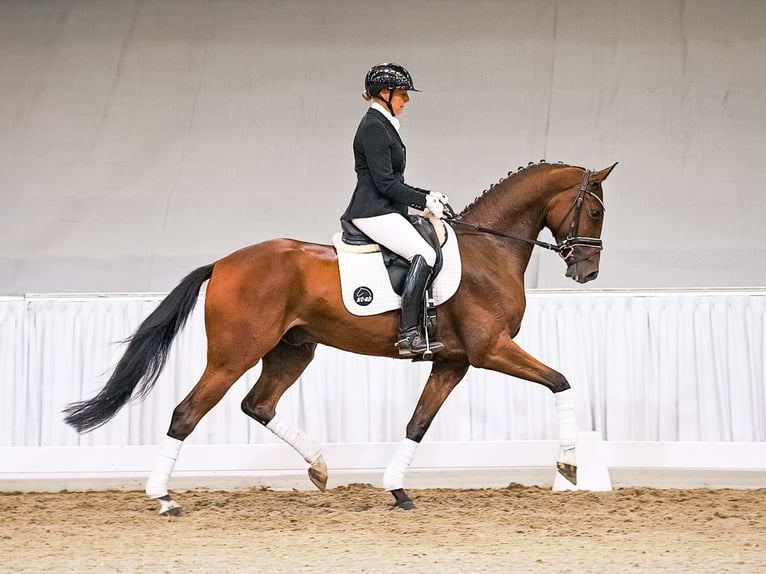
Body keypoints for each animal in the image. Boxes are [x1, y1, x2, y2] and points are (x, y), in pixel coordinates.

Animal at [63, 160, 617, 515]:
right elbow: (561, 381)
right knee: (186, 413)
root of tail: (222, 263)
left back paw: (320, 467)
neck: (490, 250)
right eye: (594, 212)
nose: (587, 272)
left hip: (292, 352)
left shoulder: (453, 362)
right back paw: (163, 498)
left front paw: (396, 491)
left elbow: (418, 423)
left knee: (258, 405)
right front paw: (570, 466)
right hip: (232, 356)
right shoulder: (491, 350)